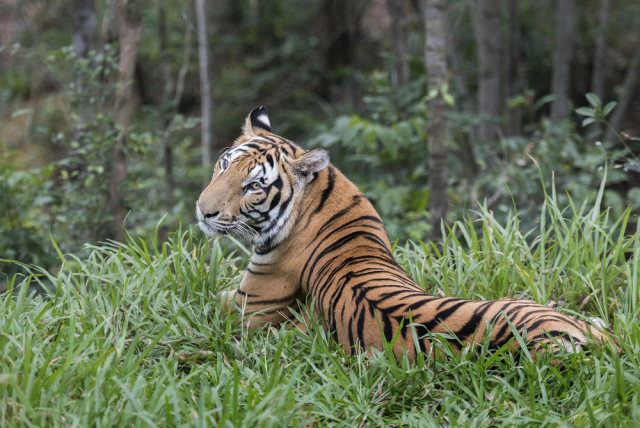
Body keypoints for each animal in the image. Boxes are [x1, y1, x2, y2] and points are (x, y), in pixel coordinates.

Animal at [195, 107, 620, 362]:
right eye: (224, 164)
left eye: (253, 186)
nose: (203, 209)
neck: (323, 197)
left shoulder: (246, 309)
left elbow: (203, 298)